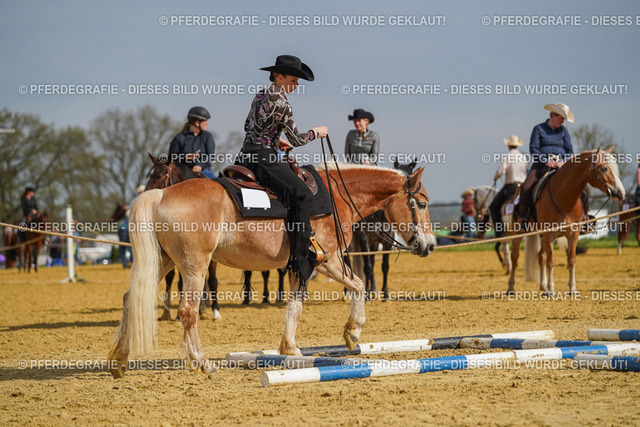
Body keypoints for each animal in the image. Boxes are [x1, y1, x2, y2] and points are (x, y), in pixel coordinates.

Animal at [108, 163, 435, 377]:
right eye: (420, 204)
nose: (430, 245)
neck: (336, 197)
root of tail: (160, 195)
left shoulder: (303, 266)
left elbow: (304, 303)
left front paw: (297, 346)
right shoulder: (323, 260)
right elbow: (349, 288)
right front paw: (349, 333)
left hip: (164, 261)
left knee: (130, 299)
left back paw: (119, 359)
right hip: (194, 266)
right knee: (187, 311)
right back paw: (201, 362)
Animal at [504, 148, 624, 295]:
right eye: (604, 168)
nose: (621, 193)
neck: (563, 197)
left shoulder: (573, 235)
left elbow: (571, 260)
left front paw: (572, 288)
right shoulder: (549, 235)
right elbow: (551, 262)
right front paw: (551, 289)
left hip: (541, 236)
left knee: (541, 257)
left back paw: (543, 287)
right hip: (518, 233)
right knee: (515, 257)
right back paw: (511, 288)